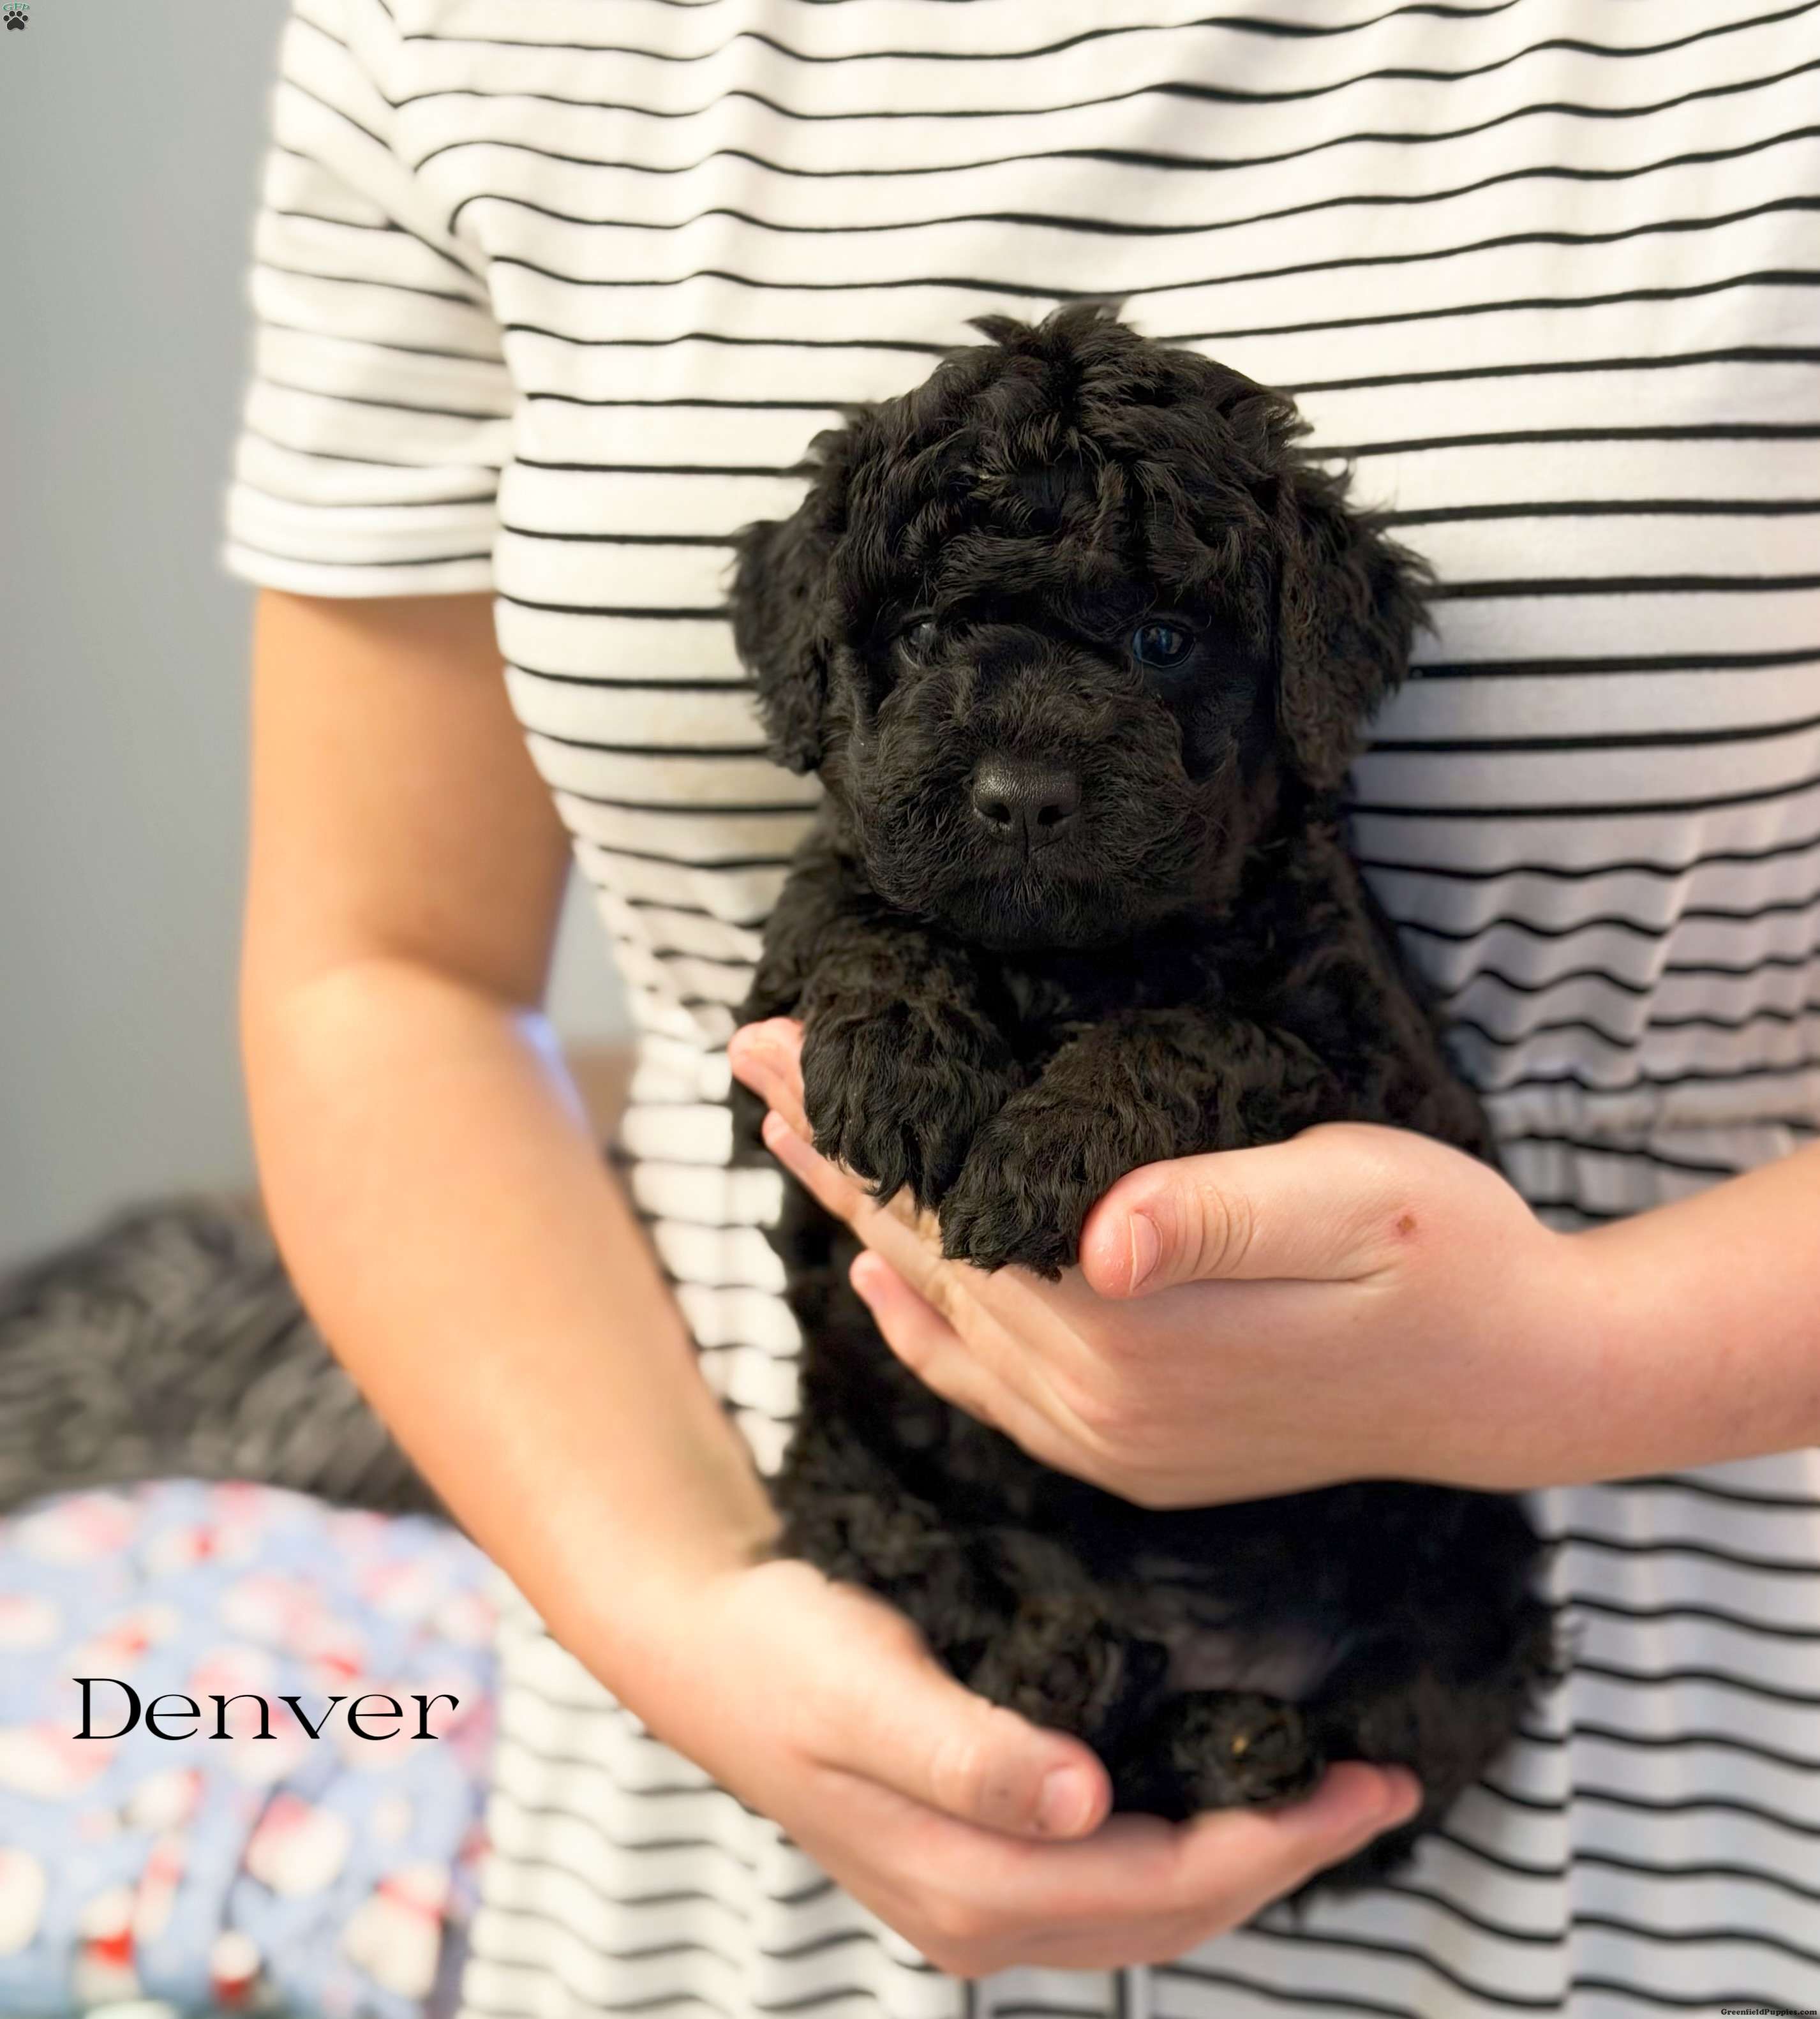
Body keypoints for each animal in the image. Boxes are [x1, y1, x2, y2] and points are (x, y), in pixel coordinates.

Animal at [727, 305, 1560, 1892]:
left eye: (1163, 643)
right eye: (920, 639)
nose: (1019, 794)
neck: (1071, 958)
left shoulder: (1384, 1074)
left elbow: (1201, 1035)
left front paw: (1040, 1151)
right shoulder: (787, 1002)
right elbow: (856, 913)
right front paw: (906, 1075)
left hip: (1473, 1559)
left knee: (1387, 1731)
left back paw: (1235, 1737)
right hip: (841, 1452)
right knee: (938, 1572)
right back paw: (1067, 1657)